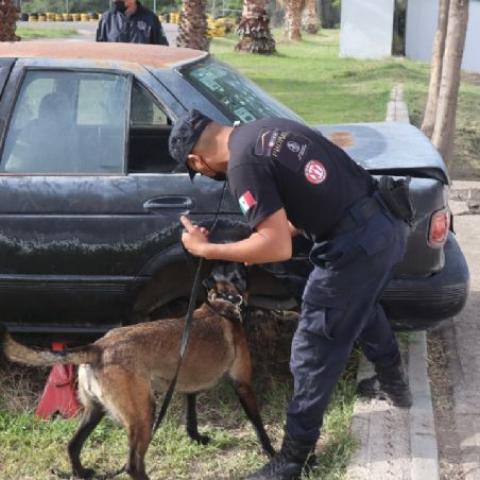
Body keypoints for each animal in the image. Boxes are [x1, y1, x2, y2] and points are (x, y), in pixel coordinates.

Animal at [0, 262, 274, 480]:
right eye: (239, 270)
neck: (220, 304)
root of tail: (98, 347)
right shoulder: (243, 384)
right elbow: (257, 423)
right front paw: (271, 452)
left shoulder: (187, 385)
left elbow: (191, 416)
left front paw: (196, 437)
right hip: (144, 414)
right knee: (132, 465)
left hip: (95, 410)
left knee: (73, 446)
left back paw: (82, 473)